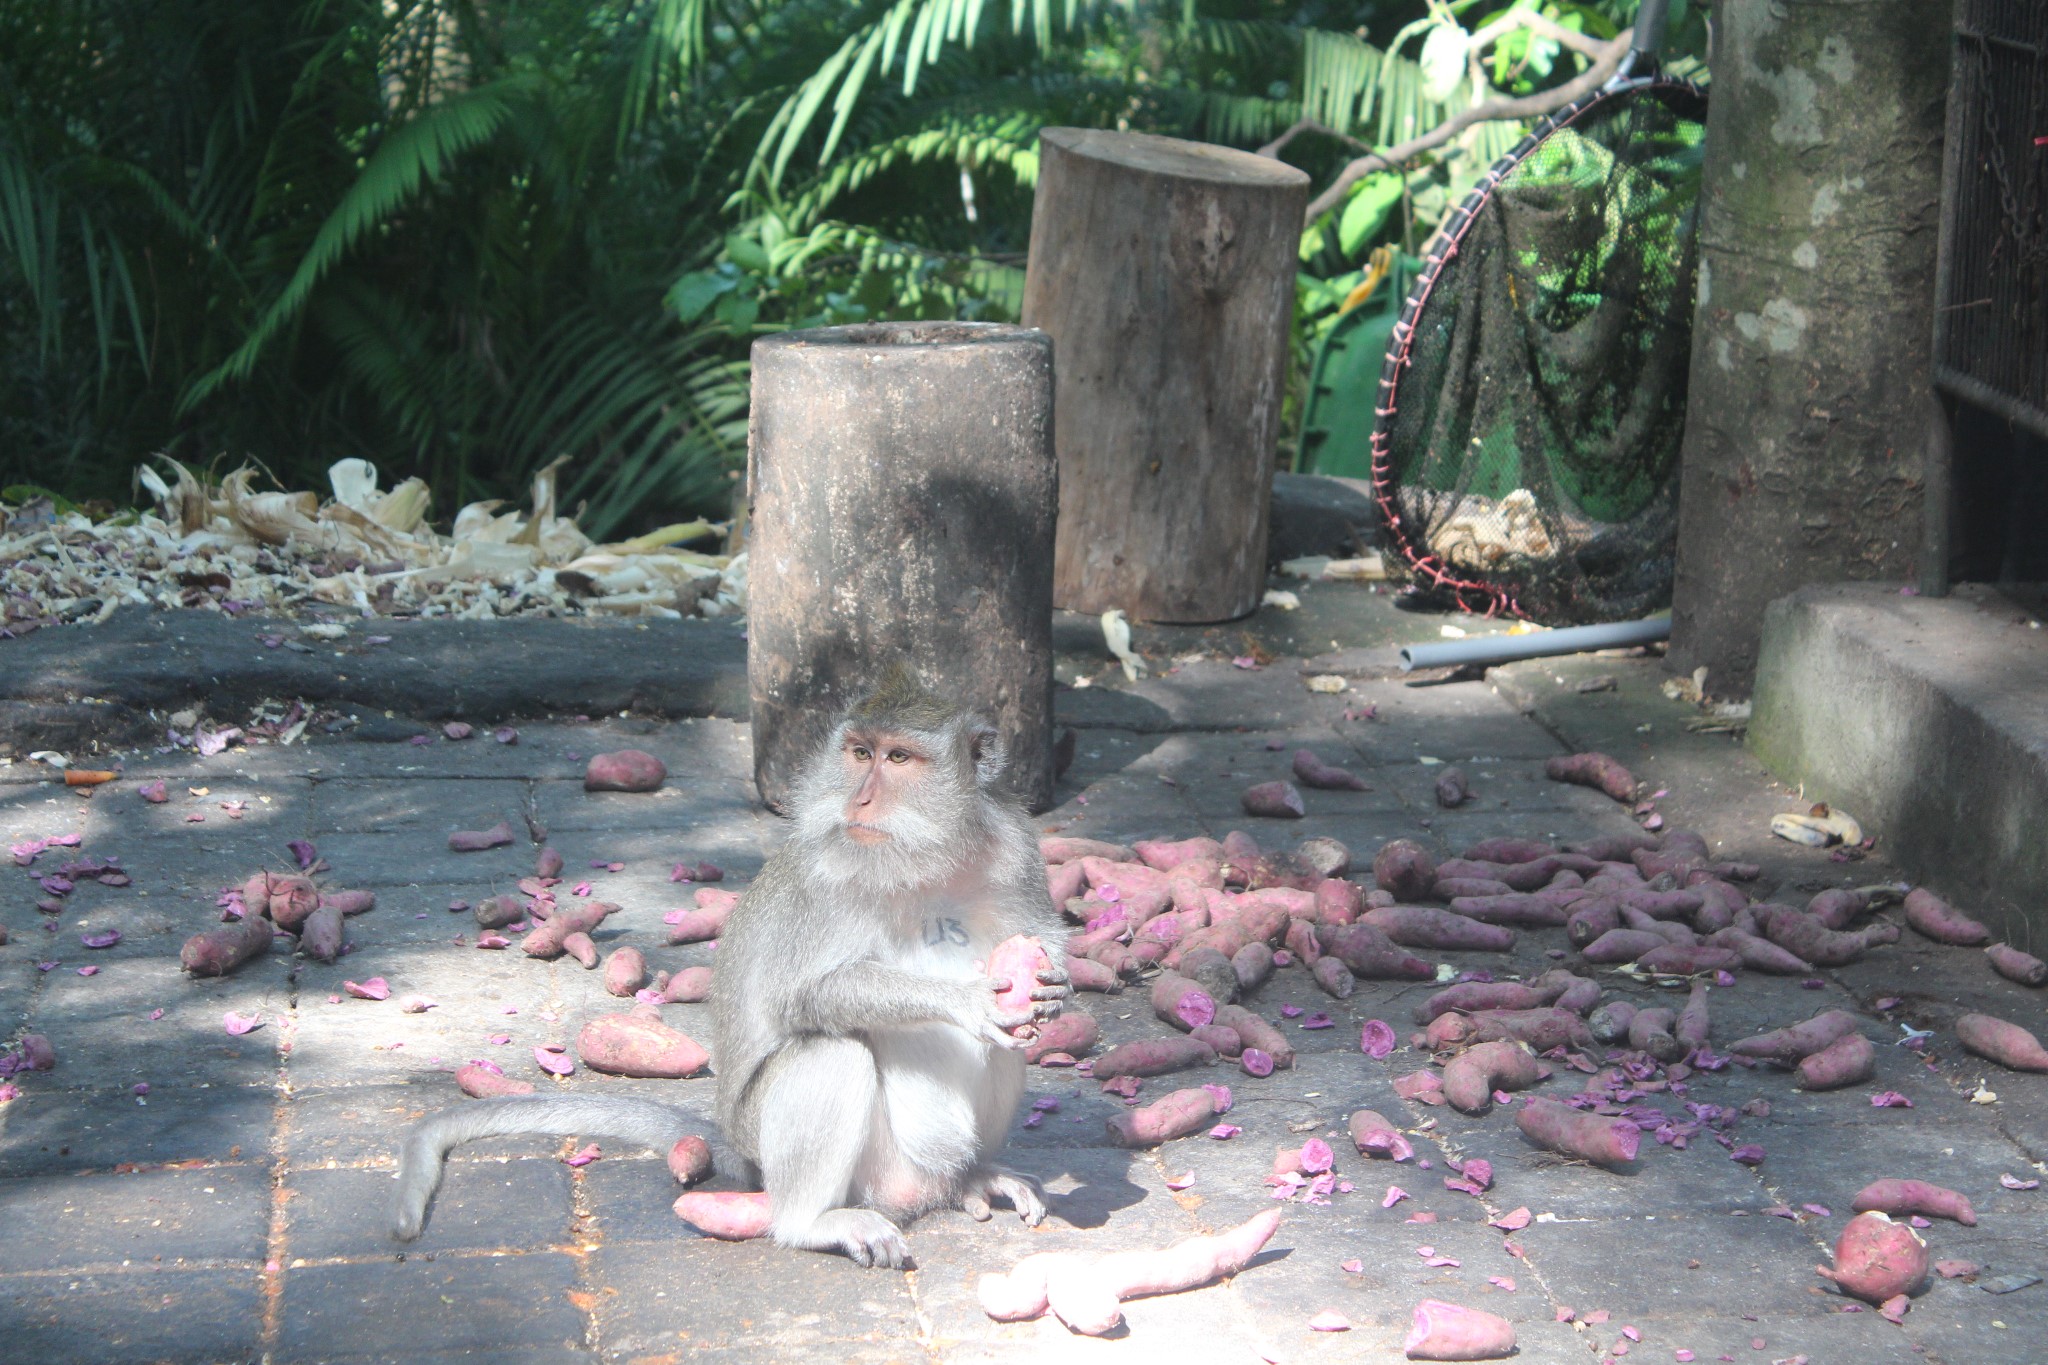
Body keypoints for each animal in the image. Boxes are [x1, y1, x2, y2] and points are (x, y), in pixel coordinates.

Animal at [391, 671, 1081, 1268]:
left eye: (900, 759)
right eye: (861, 753)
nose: (859, 797)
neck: (927, 857)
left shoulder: (1014, 842)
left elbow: (1042, 940)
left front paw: (1057, 982)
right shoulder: (826, 876)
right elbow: (806, 996)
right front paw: (967, 1000)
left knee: (1008, 1053)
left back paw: (971, 1177)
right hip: (805, 1155)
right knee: (830, 1051)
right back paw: (812, 1222)